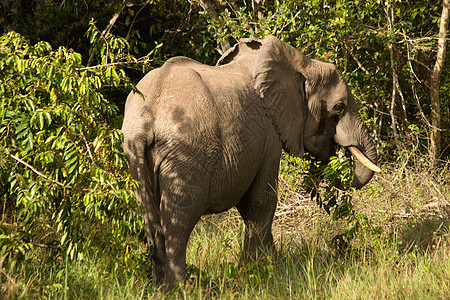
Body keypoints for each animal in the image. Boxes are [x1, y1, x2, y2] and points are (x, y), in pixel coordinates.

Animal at [122, 35, 380, 290]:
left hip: (135, 153)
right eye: (339, 107)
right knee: (179, 219)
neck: (302, 64)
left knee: (149, 216)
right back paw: (183, 288)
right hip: (186, 154)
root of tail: (147, 117)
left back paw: (160, 289)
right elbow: (261, 200)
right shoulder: (269, 132)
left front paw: (268, 265)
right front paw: (261, 272)